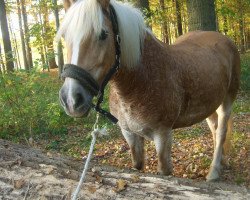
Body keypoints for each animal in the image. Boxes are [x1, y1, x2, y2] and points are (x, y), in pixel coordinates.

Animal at [57, 0, 240, 181]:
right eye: (65, 36)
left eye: (103, 34)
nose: (72, 100)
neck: (140, 81)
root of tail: (225, 40)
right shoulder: (129, 133)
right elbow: (137, 165)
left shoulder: (163, 135)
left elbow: (164, 171)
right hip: (209, 104)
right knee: (215, 128)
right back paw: (222, 160)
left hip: (227, 101)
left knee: (222, 130)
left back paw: (214, 171)